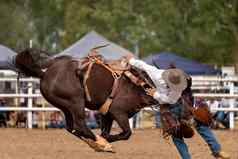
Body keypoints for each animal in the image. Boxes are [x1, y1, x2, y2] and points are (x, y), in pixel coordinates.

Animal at [14, 48, 160, 152]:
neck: (135, 86)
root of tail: (44, 74)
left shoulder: (107, 114)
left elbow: (106, 130)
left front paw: (105, 138)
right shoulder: (118, 112)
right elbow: (126, 133)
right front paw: (106, 140)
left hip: (65, 106)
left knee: (72, 128)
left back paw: (97, 144)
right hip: (76, 101)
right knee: (80, 126)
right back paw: (102, 144)